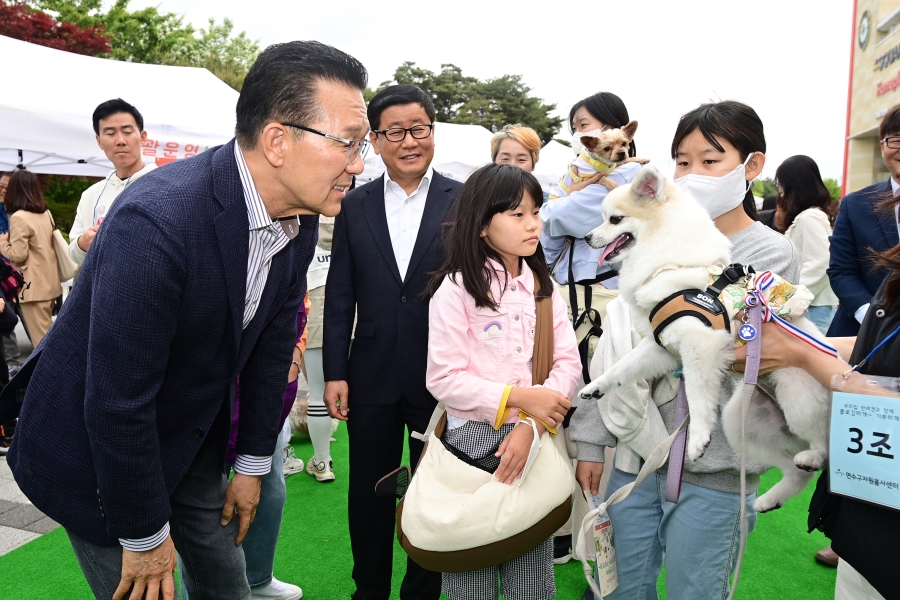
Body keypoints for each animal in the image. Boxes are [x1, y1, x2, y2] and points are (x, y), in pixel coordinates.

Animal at [580, 166, 832, 512]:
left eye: (614, 220)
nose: (586, 237)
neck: (668, 260)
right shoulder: (662, 345)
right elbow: (623, 366)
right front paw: (597, 385)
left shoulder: (700, 344)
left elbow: (698, 396)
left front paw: (698, 438)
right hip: (743, 423)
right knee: (796, 471)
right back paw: (769, 499)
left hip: (798, 397)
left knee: (825, 447)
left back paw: (813, 456)